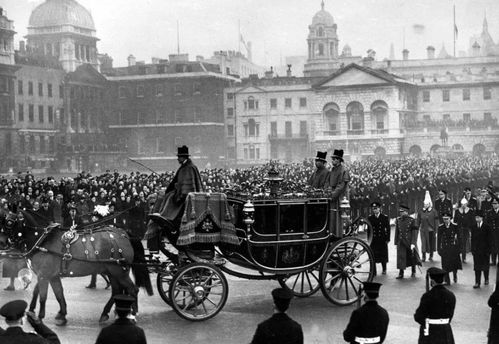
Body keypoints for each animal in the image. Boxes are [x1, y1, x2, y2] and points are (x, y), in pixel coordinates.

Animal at [0, 210, 153, 326]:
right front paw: (62, 315)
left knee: (133, 290)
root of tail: (123, 234)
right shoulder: (52, 276)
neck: (44, 239)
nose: (3, 243)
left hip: (120, 272)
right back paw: (105, 313)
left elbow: (43, 296)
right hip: (112, 272)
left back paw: (132, 314)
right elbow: (58, 294)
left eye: (10, 222)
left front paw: (39, 316)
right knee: (116, 291)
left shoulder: (44, 275)